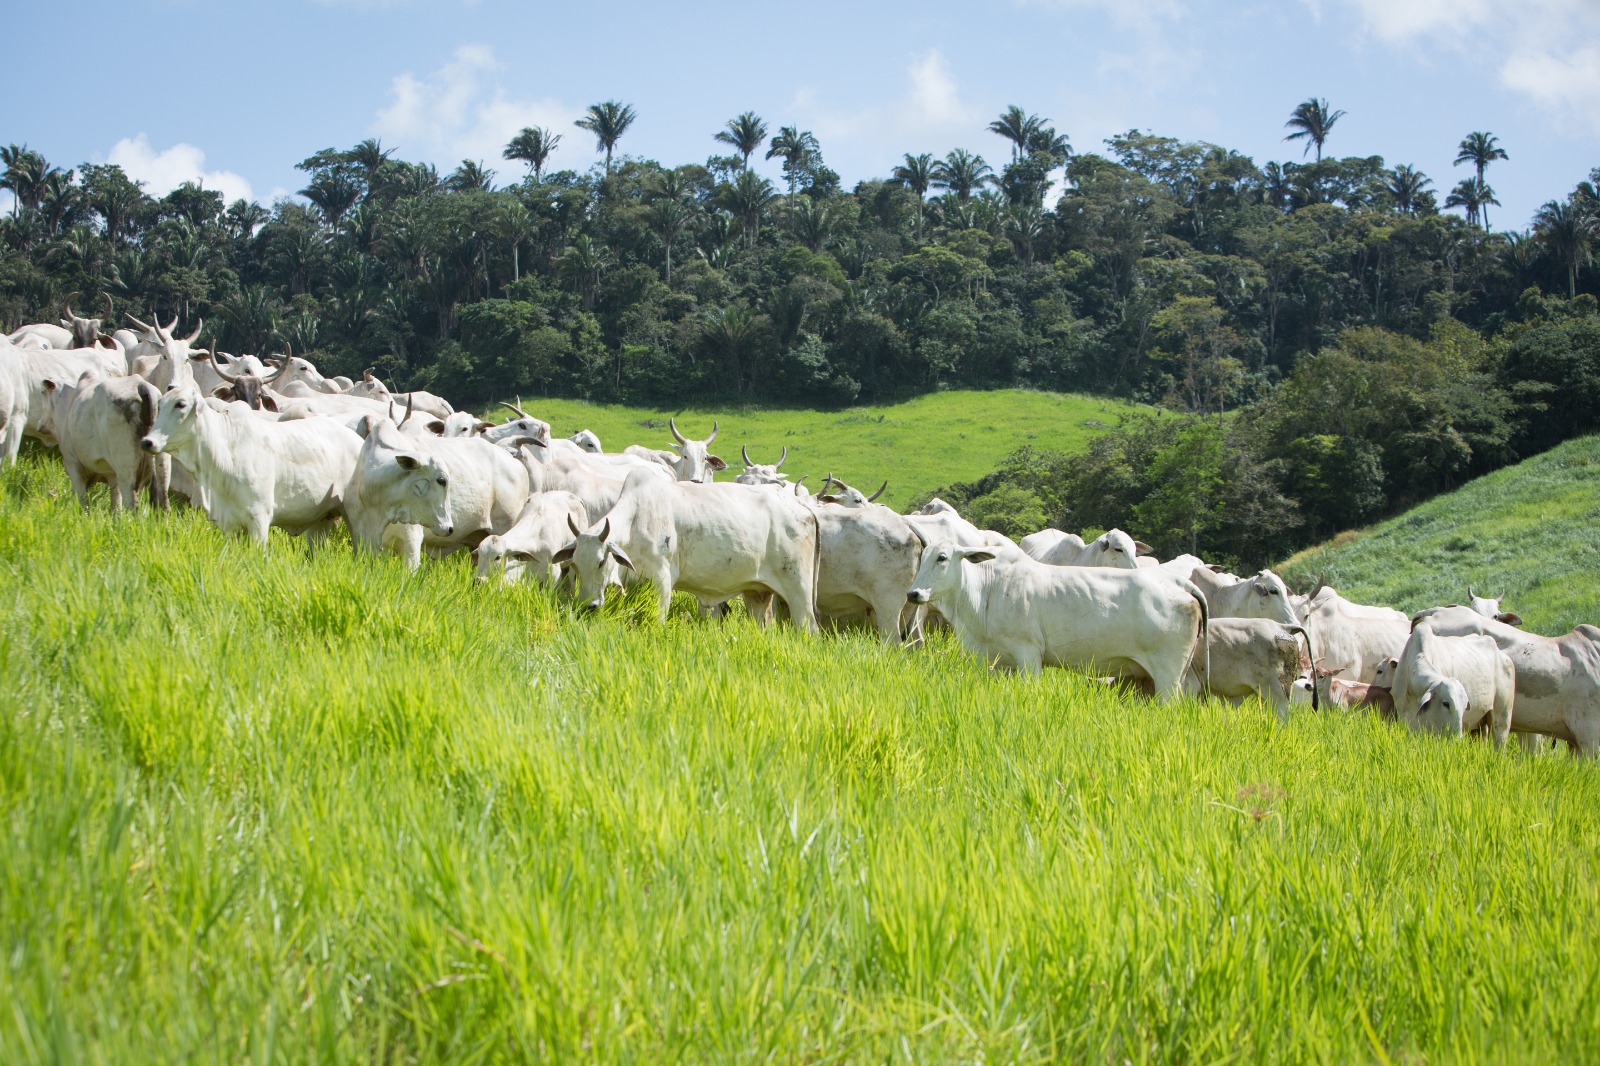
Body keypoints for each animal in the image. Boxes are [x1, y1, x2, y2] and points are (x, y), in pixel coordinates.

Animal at [136, 379, 363, 544]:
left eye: (181, 404)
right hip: (321, 521)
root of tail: (356, 439)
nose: (147, 442)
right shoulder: (230, 524)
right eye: (160, 404)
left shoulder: (259, 519)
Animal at [556, 470, 819, 627]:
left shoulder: (662, 581)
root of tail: (804, 508)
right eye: (575, 565)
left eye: (601, 561)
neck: (636, 519)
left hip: (799, 591)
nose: (588, 606)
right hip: (757, 593)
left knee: (808, 627)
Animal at [908, 541, 1203, 697]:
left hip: (1168, 677)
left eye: (942, 558)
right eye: (922, 557)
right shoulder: (996, 662)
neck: (987, 588)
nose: (914, 593)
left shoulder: (1028, 654)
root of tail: (1178, 582)